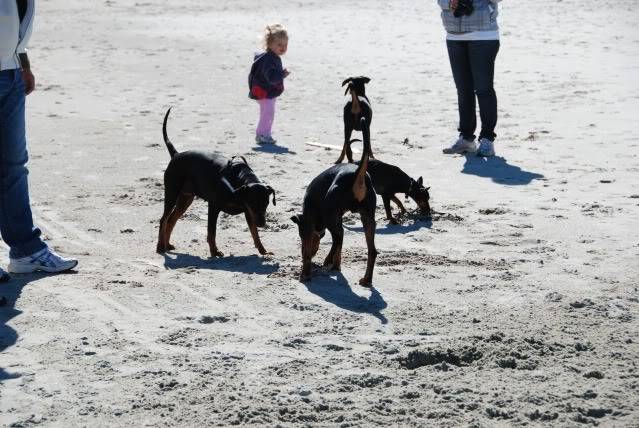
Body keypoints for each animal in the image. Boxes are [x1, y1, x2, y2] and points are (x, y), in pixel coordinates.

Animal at [156, 108, 276, 260]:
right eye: (253, 203)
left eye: (266, 204)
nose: (262, 224)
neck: (237, 182)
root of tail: (176, 155)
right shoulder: (214, 207)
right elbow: (211, 232)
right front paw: (214, 252)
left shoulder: (248, 212)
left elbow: (255, 233)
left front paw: (263, 251)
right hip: (172, 192)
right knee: (164, 219)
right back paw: (160, 247)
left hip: (186, 198)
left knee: (172, 220)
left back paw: (167, 244)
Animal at [292, 116, 378, 288]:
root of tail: (357, 174)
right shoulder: (334, 219)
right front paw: (336, 266)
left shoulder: (310, 225)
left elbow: (307, 250)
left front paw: (306, 271)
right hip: (367, 217)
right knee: (371, 250)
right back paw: (366, 279)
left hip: (330, 214)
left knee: (339, 238)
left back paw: (326, 262)